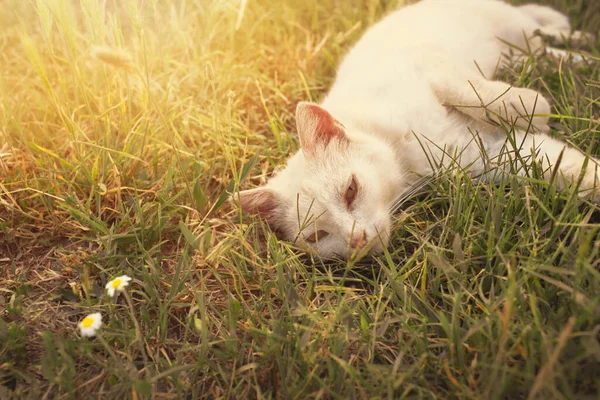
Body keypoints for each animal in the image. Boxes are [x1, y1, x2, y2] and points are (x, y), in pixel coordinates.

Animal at [237, 0, 596, 260]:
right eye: (318, 237)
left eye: (350, 190)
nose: (358, 240)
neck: (404, 156)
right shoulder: (492, 156)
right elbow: (571, 169)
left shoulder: (432, 66)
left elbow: (475, 95)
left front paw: (532, 106)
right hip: (518, 51)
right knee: (543, 51)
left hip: (513, 29)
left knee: (545, 34)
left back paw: (584, 50)